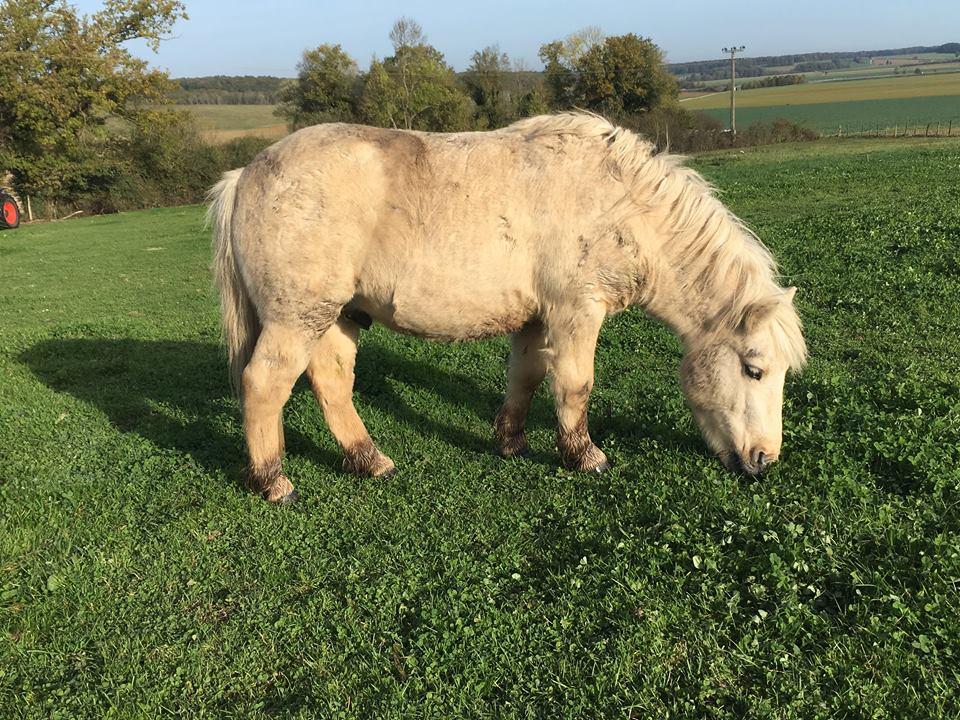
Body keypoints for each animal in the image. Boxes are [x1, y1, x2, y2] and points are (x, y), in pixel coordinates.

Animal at [208, 112, 806, 503]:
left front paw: (511, 442)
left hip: (337, 316)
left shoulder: (537, 320)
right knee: (265, 384)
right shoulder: (575, 312)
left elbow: (527, 377)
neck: (618, 201)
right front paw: (583, 456)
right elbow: (575, 386)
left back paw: (369, 461)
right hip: (297, 317)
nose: (764, 461)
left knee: (332, 382)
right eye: (753, 370)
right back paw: (274, 482)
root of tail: (246, 175)